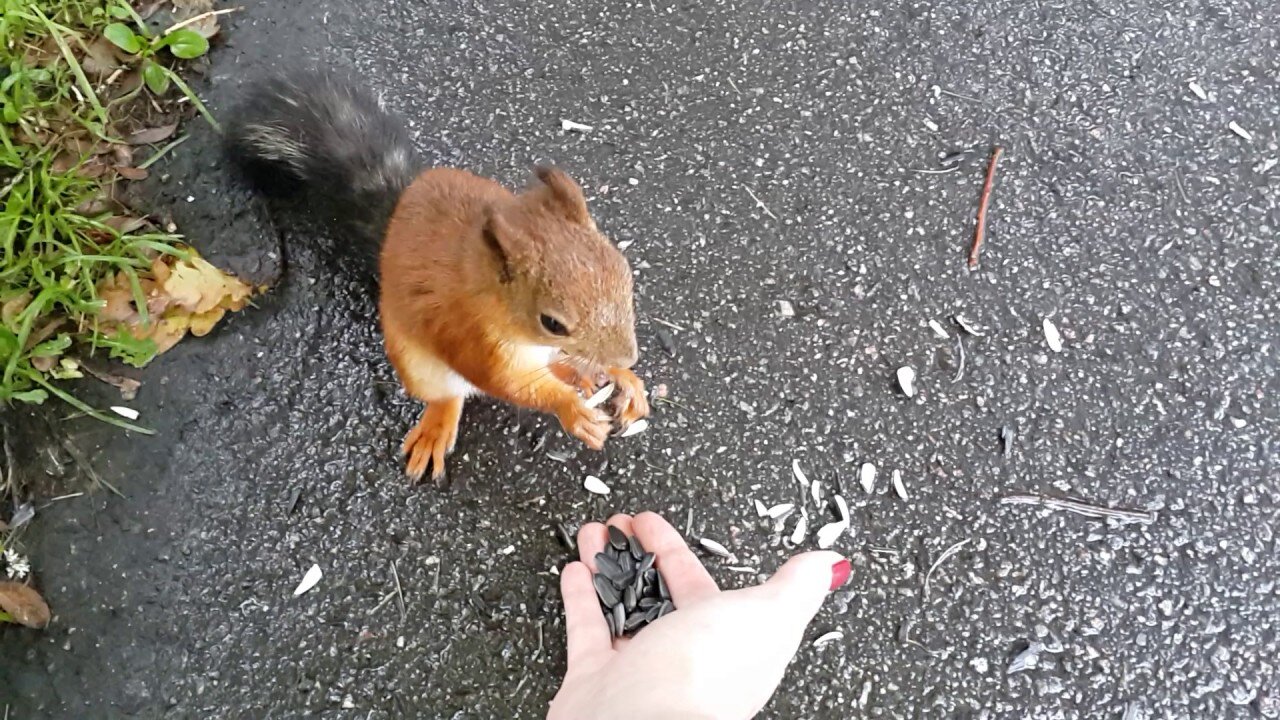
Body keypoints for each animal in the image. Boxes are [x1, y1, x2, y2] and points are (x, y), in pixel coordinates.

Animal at [222, 70, 650, 479]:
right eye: (552, 322)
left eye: (624, 273)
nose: (629, 357)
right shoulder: (471, 338)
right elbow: (507, 384)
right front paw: (573, 411)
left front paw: (624, 379)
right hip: (417, 365)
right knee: (448, 394)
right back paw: (439, 425)